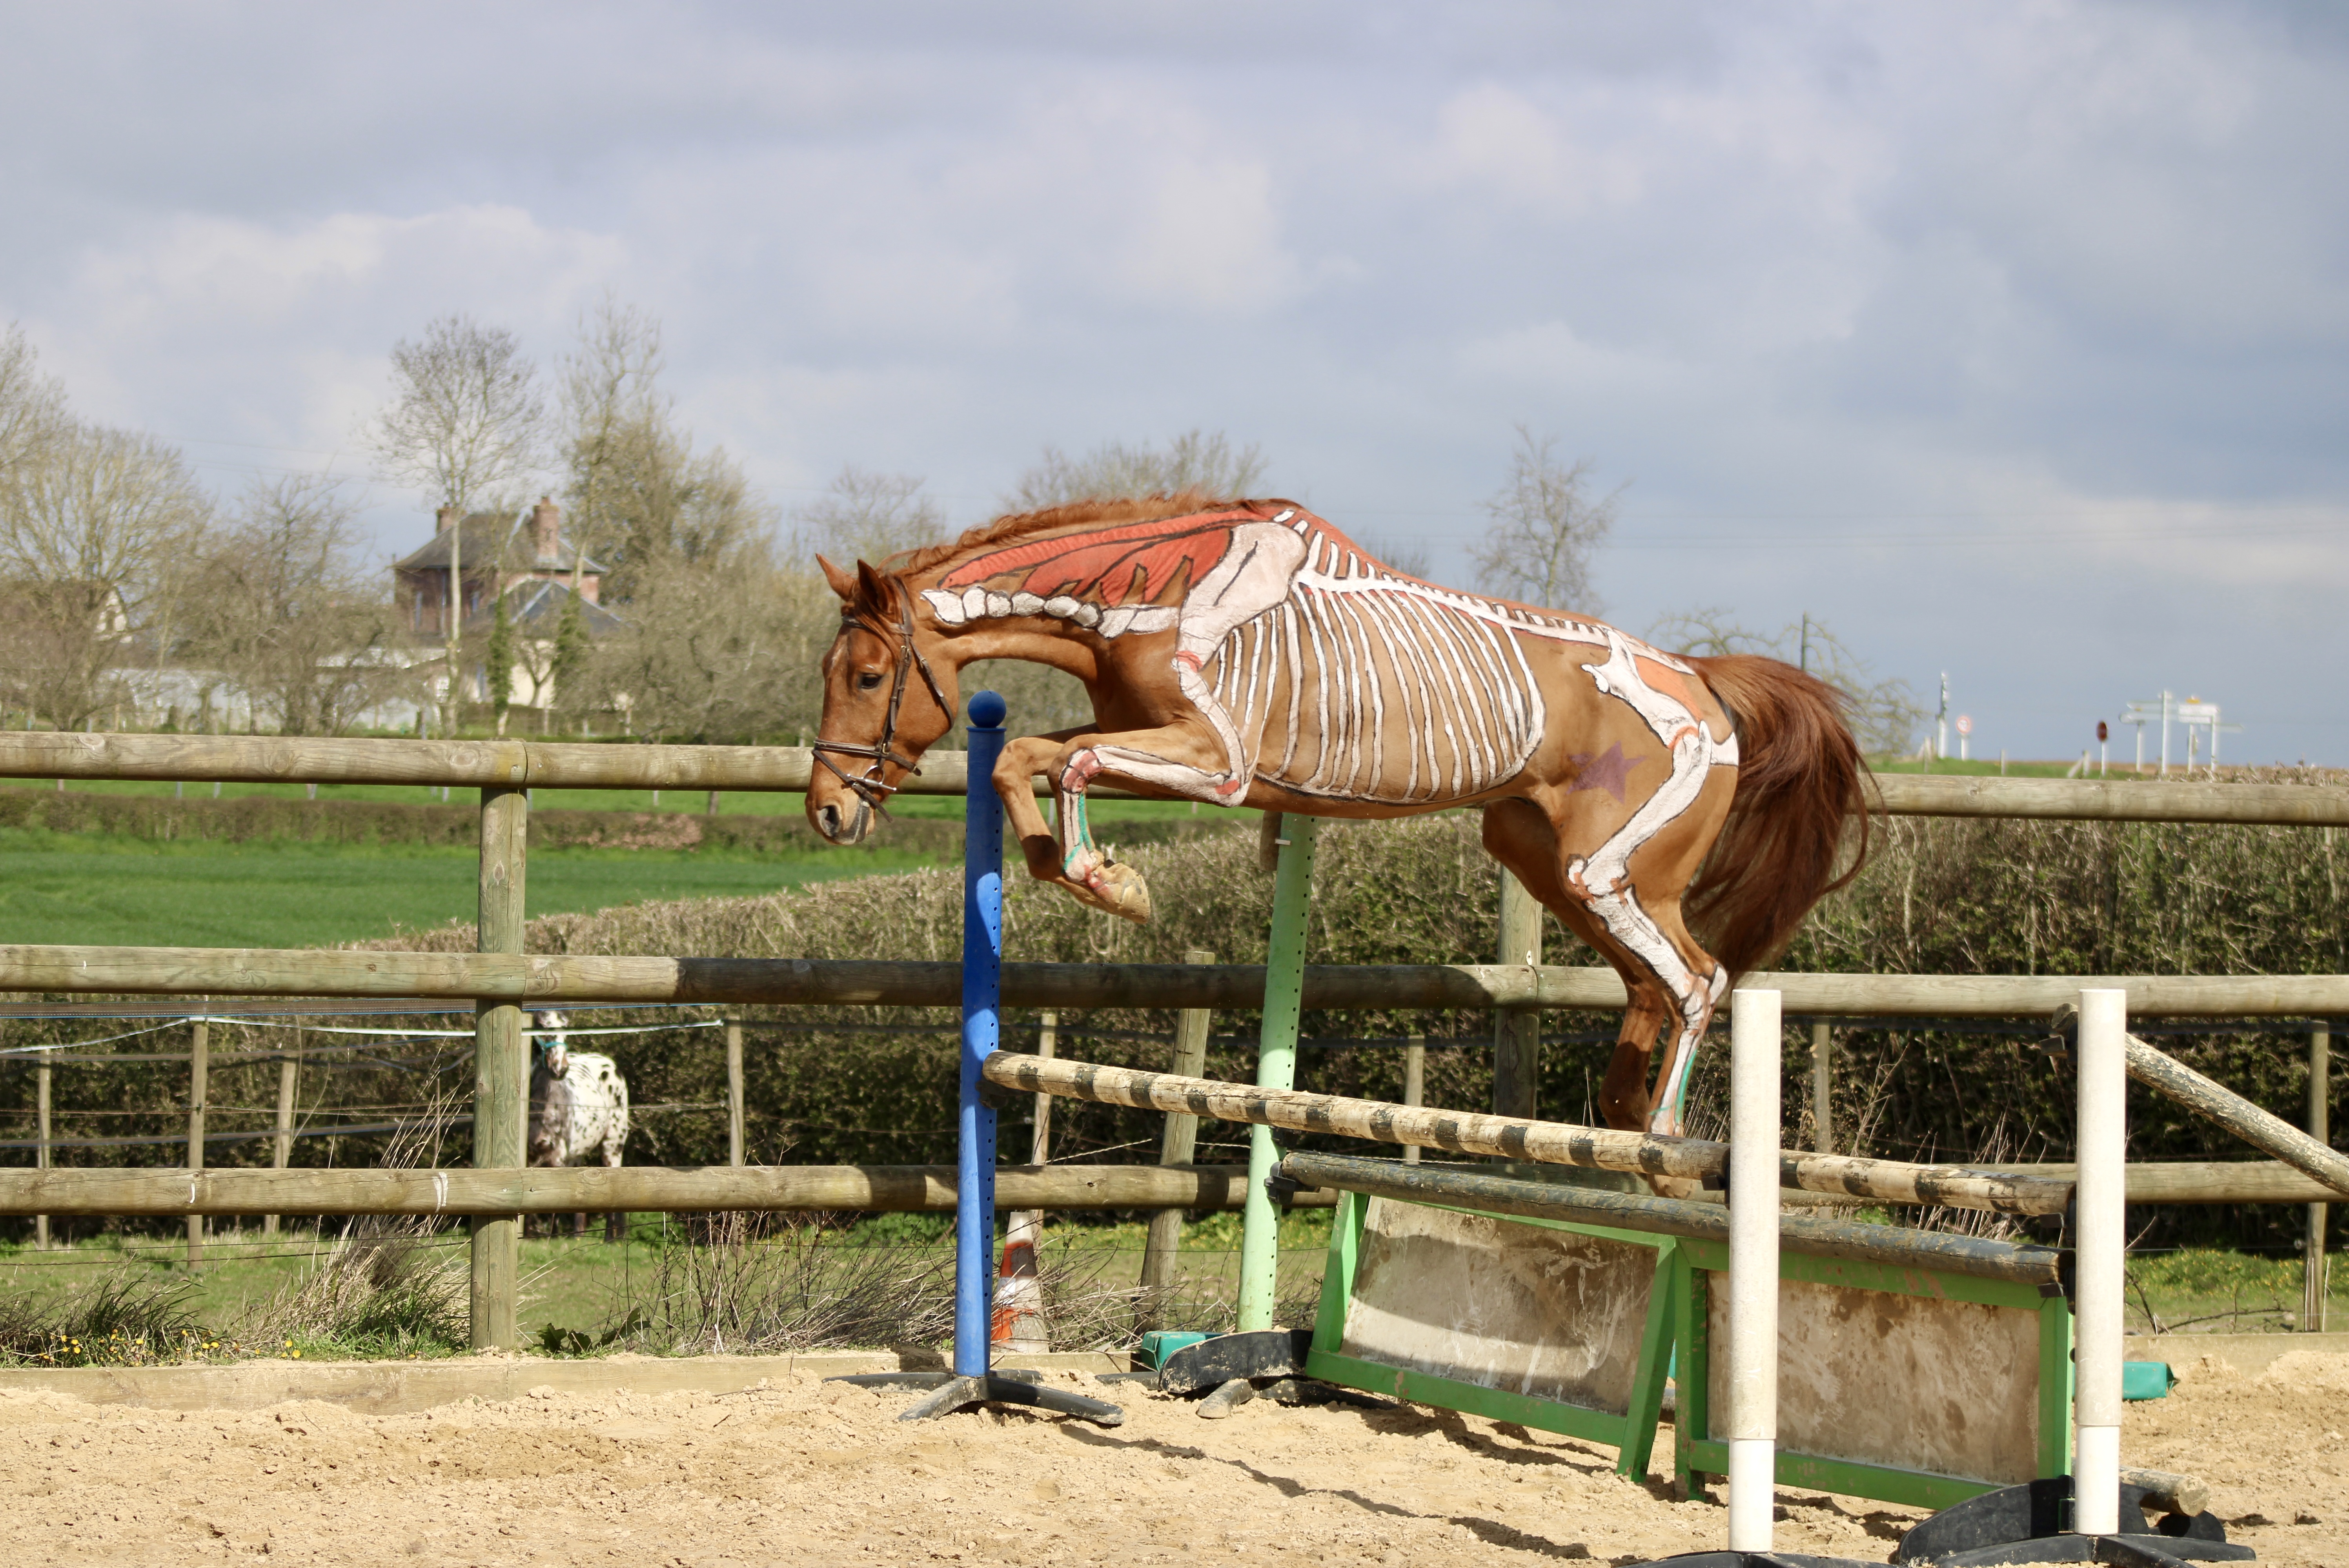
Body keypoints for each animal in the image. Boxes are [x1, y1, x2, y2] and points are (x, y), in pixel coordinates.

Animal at [527, 1010, 632, 1241]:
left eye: (566, 1031)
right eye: (542, 1027)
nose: (561, 1069)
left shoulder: (557, 1157)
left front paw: (552, 1239)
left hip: (612, 1146)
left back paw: (612, 1241)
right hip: (578, 1155)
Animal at [804, 494, 1868, 1143]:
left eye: (868, 677)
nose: (825, 812)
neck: (1153, 596)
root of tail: (1705, 682)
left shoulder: (1219, 763)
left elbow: (1065, 760)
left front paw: (1114, 884)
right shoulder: (1148, 735)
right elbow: (1025, 758)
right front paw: (1061, 863)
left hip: (1606, 873)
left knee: (1697, 980)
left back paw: (1661, 1141)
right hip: (1546, 859)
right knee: (1651, 985)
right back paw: (1614, 1119)